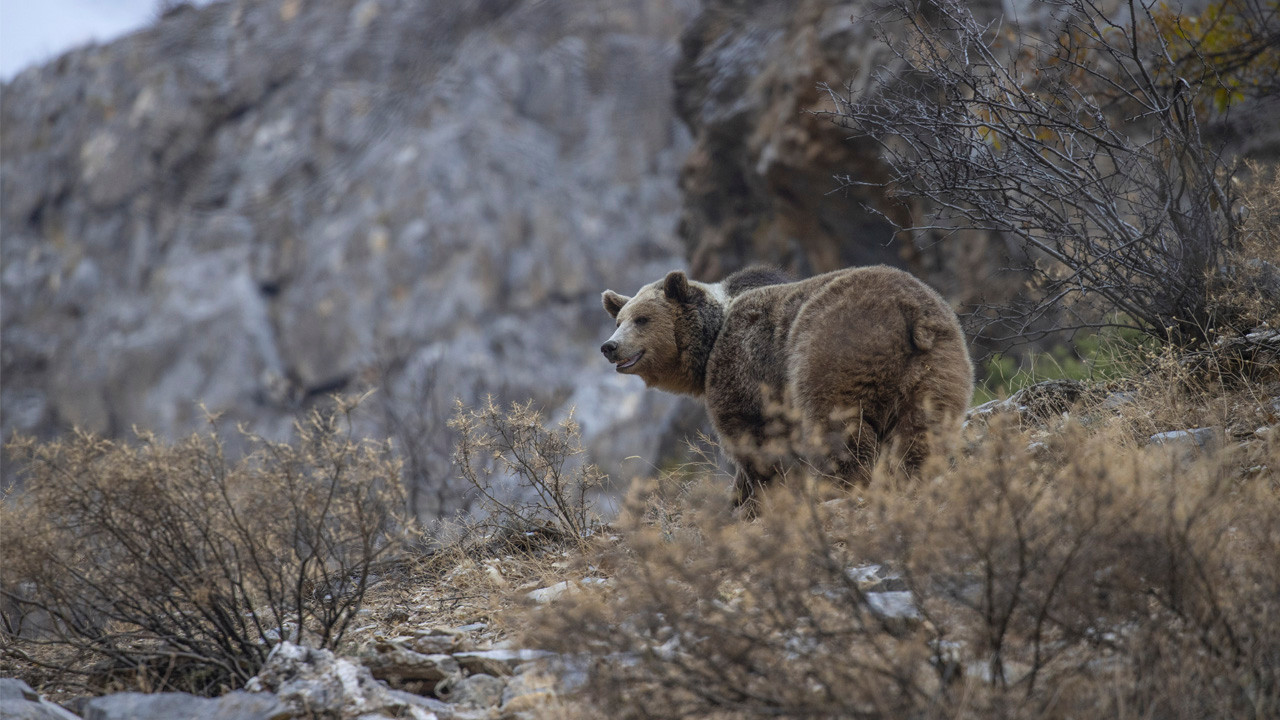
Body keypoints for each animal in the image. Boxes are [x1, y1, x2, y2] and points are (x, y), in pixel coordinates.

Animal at [599, 265, 967, 509]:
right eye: (619, 320)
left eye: (642, 319)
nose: (609, 346)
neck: (709, 342)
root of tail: (908, 310)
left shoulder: (743, 371)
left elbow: (754, 442)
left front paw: (753, 500)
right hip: (936, 365)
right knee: (923, 429)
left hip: (833, 352)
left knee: (839, 428)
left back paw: (845, 486)